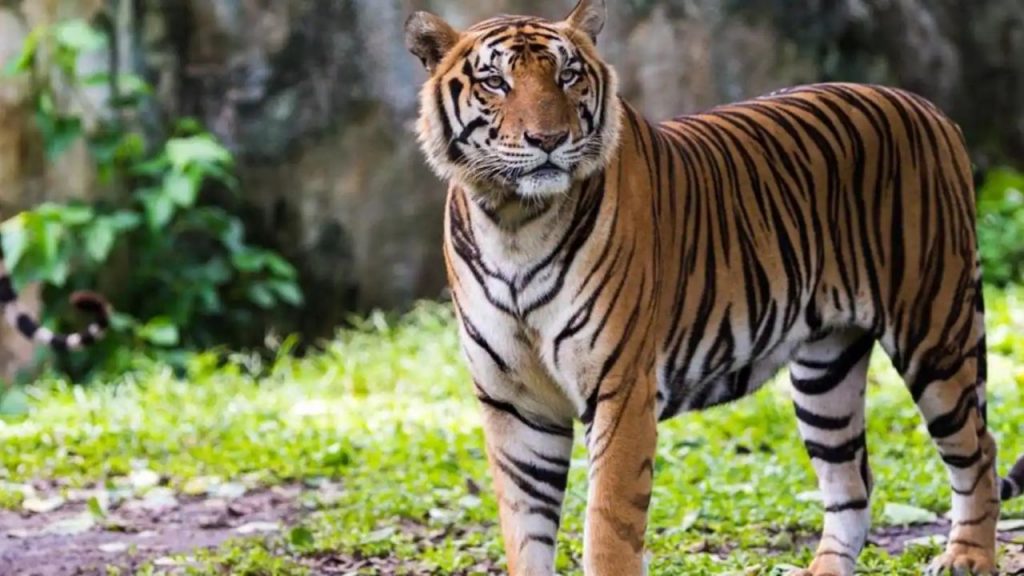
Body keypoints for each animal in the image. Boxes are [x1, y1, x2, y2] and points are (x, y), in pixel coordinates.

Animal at [404, 0, 1024, 574]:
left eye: (568, 75)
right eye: (495, 82)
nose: (550, 140)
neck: (513, 223)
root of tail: (928, 107)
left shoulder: (621, 389)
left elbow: (607, 530)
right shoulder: (514, 403)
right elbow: (525, 533)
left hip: (935, 330)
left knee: (979, 451)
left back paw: (967, 556)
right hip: (826, 373)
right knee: (853, 484)